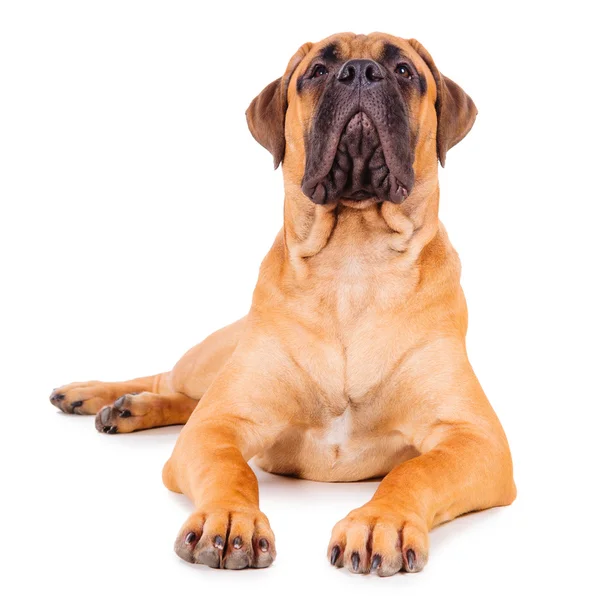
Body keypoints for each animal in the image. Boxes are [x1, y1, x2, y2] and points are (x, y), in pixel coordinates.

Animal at [50, 32, 516, 576]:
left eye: (403, 70)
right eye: (318, 70)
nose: (361, 72)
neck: (353, 262)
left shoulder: (473, 438)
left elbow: (415, 471)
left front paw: (381, 522)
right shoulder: (219, 424)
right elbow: (231, 468)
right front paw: (229, 518)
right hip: (211, 359)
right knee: (171, 381)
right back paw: (95, 394)